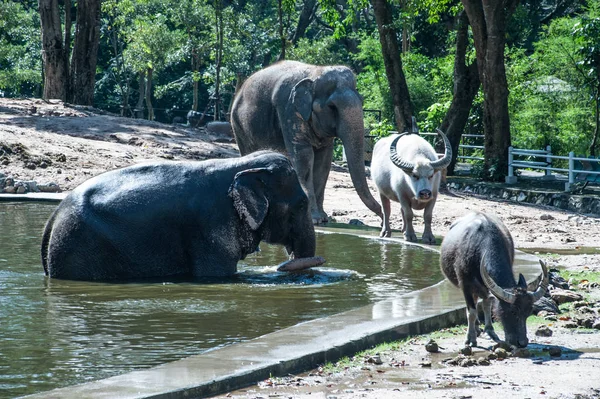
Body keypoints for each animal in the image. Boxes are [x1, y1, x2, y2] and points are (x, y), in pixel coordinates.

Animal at [41, 151, 324, 282]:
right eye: (301, 205)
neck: (240, 164)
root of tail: (53, 218)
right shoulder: (211, 225)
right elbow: (217, 273)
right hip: (79, 248)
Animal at [230, 61, 380, 227]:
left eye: (362, 101)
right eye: (332, 106)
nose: (382, 218)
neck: (316, 72)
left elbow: (323, 161)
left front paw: (323, 218)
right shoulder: (289, 109)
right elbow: (304, 157)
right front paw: (314, 219)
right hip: (238, 125)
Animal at [440, 214, 548, 348]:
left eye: (528, 312)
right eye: (512, 311)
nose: (522, 343)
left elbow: (487, 304)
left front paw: (488, 331)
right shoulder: (465, 285)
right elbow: (471, 312)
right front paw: (470, 339)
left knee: (485, 303)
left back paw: (485, 330)